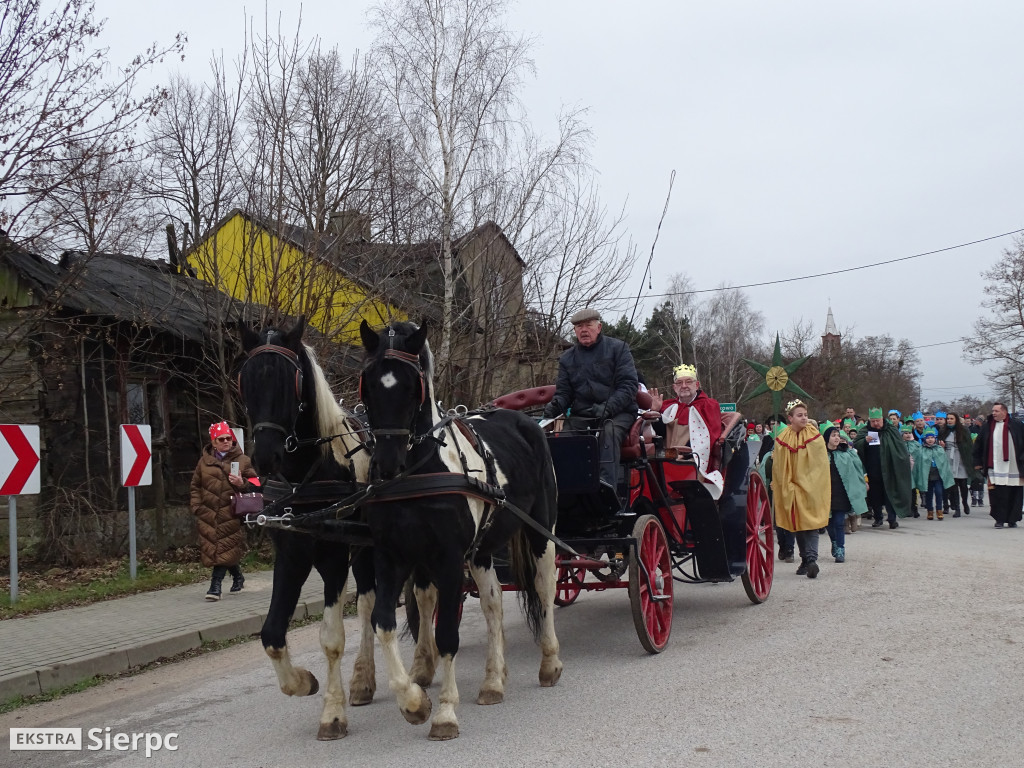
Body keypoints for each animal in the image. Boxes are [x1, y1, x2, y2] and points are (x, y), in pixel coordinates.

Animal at [360, 317, 565, 741]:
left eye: (412, 386)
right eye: (368, 384)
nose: (387, 464)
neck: (418, 474)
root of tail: (530, 422)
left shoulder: (449, 560)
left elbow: (446, 636)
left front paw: (444, 713)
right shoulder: (391, 558)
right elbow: (383, 623)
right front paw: (413, 702)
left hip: (541, 531)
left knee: (544, 585)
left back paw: (550, 663)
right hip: (483, 550)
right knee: (493, 604)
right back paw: (493, 681)